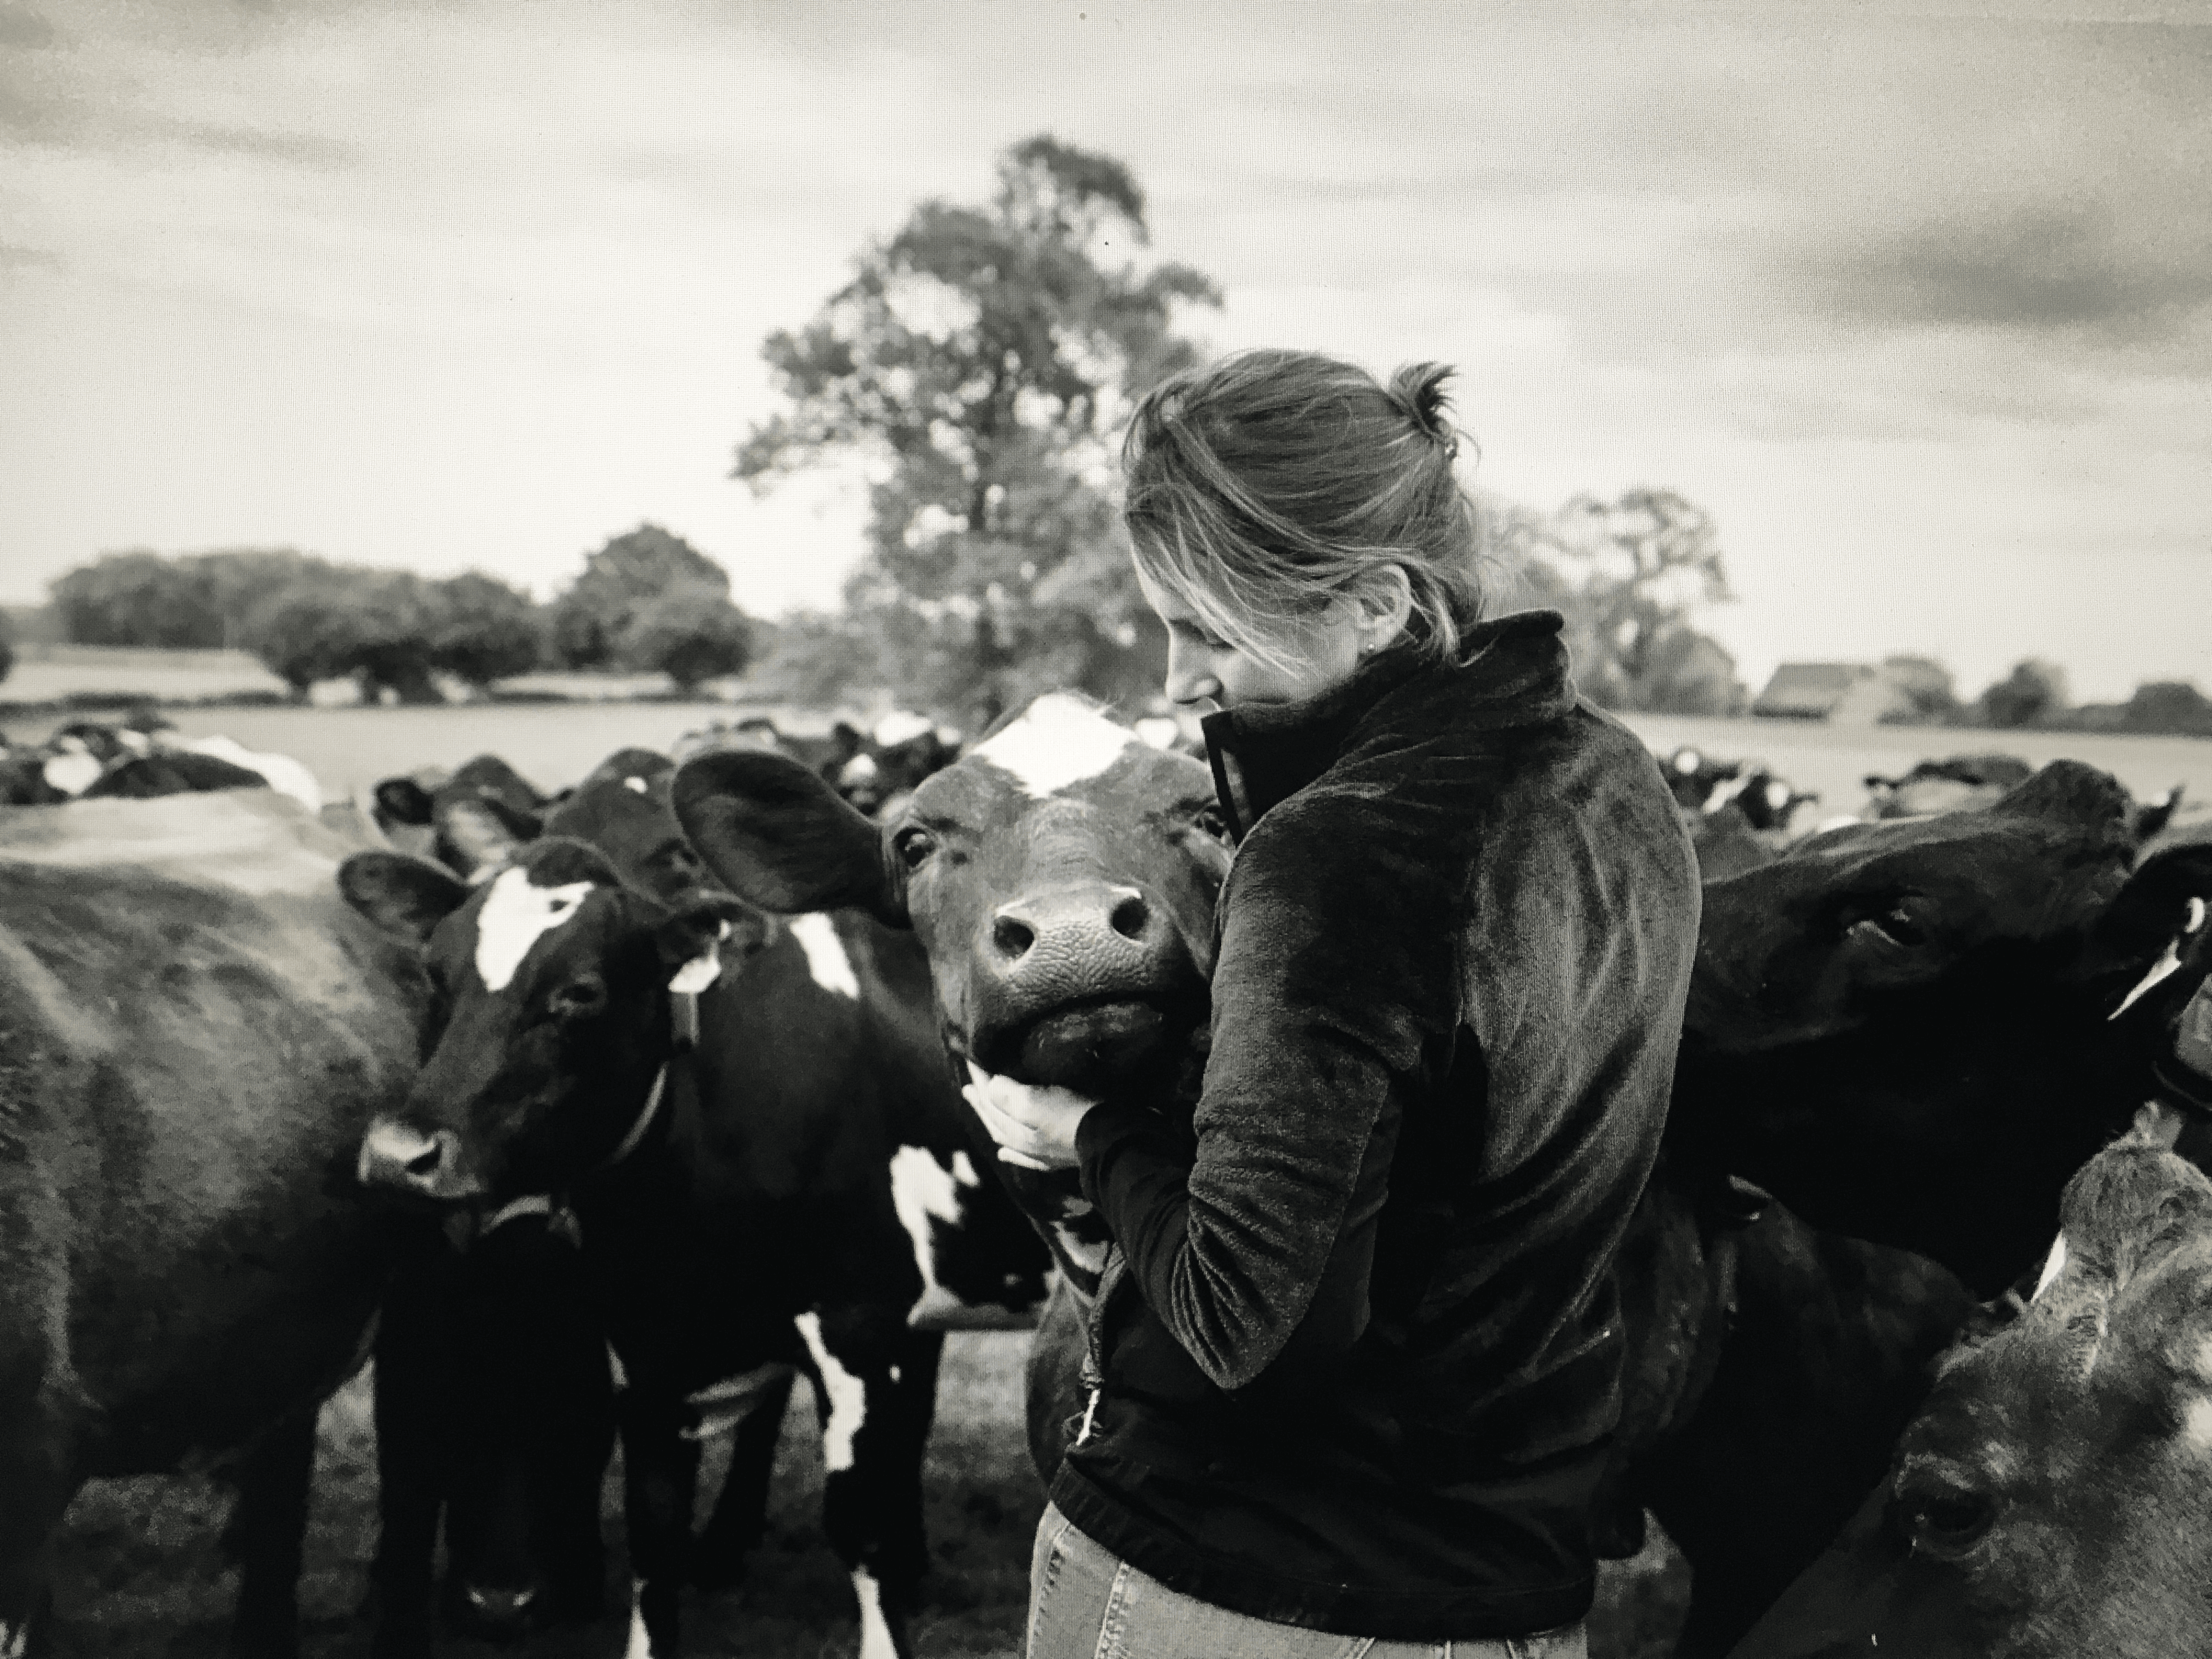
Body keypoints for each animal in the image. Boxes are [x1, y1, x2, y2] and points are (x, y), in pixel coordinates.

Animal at [336, 765, 1052, 1659]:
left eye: (581, 992)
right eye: (435, 974)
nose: (400, 1153)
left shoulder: (855, 1325)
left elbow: (861, 1528)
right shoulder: (649, 1352)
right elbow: (653, 1537)